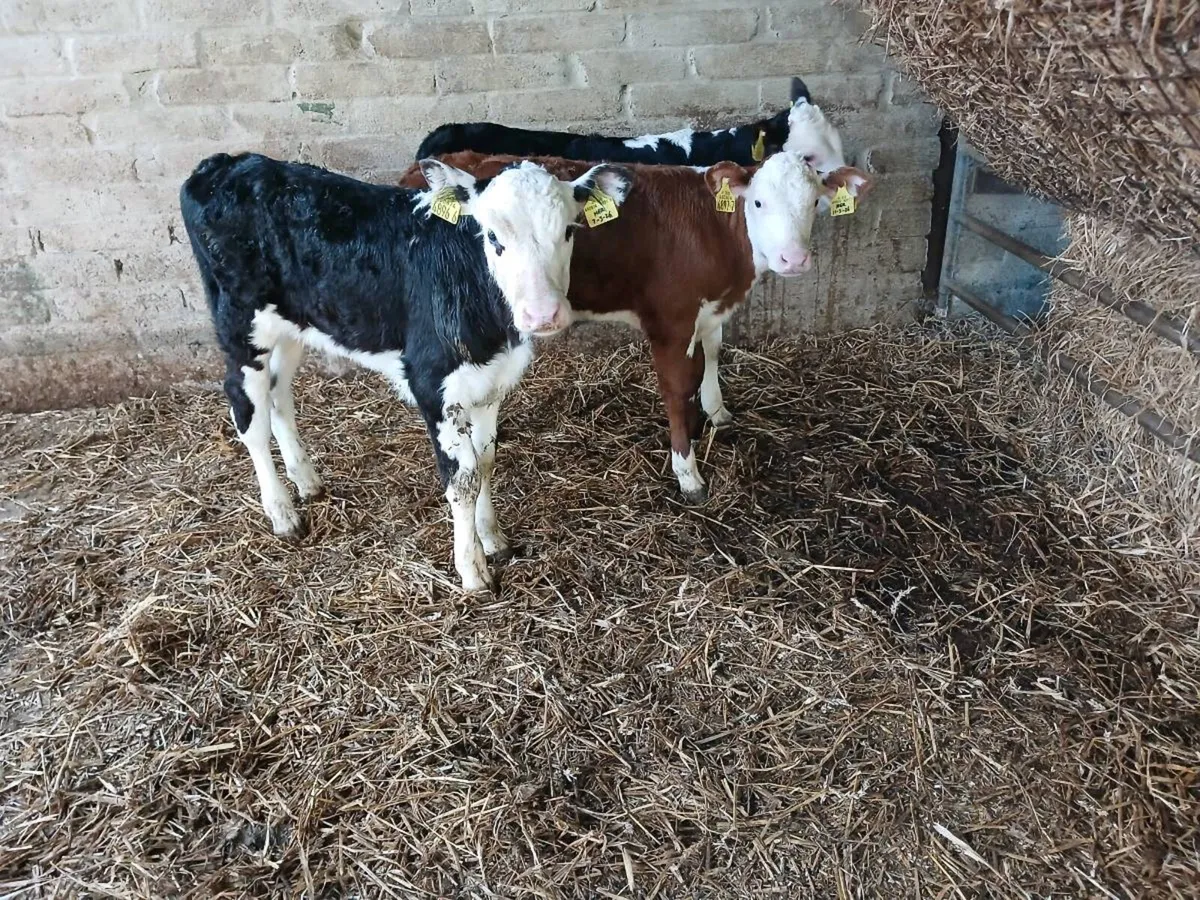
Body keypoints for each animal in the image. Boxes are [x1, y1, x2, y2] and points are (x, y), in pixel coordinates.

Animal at [180, 151, 634, 592]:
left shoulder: (491, 381)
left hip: (292, 323)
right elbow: (463, 478)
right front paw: (473, 571)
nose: (542, 315)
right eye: (492, 237)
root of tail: (224, 163)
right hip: (240, 324)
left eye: (569, 231)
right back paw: (282, 513)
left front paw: (493, 538)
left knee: (278, 395)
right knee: (247, 412)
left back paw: (307, 481)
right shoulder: (433, 384)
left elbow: (486, 461)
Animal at [398, 151, 872, 503]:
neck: (717, 233)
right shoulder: (670, 320)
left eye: (814, 203)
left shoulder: (708, 310)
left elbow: (711, 354)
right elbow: (677, 389)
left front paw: (715, 412)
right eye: (759, 203)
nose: (794, 259)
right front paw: (688, 472)